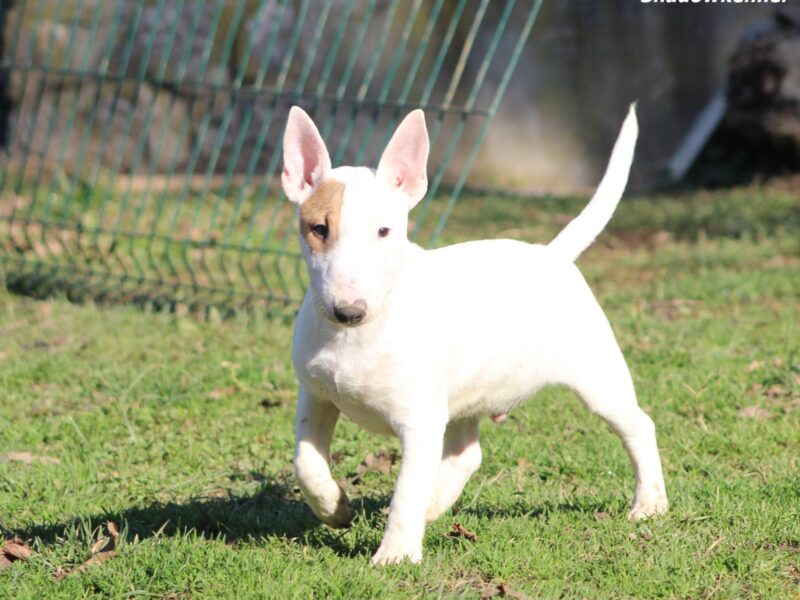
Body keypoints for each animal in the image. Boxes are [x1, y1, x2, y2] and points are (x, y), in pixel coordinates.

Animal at [282, 105, 668, 564]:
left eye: (384, 232)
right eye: (319, 229)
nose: (349, 310)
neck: (357, 337)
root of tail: (551, 254)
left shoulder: (420, 421)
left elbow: (406, 490)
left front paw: (395, 555)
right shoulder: (316, 395)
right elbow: (306, 462)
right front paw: (335, 509)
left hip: (598, 376)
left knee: (639, 425)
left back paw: (650, 504)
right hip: (467, 394)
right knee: (468, 453)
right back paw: (435, 504)